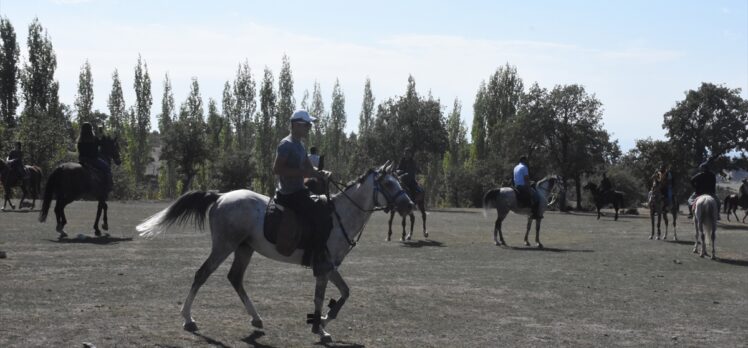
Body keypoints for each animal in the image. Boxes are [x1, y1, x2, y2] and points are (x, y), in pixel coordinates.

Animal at [135, 162, 414, 342]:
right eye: (388, 183)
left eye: (398, 181)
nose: (409, 204)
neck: (340, 216)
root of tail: (221, 196)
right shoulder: (323, 266)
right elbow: (320, 297)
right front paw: (320, 328)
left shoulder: (330, 265)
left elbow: (345, 293)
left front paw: (324, 320)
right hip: (224, 245)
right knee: (202, 274)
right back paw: (188, 318)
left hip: (244, 248)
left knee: (235, 278)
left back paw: (256, 319)